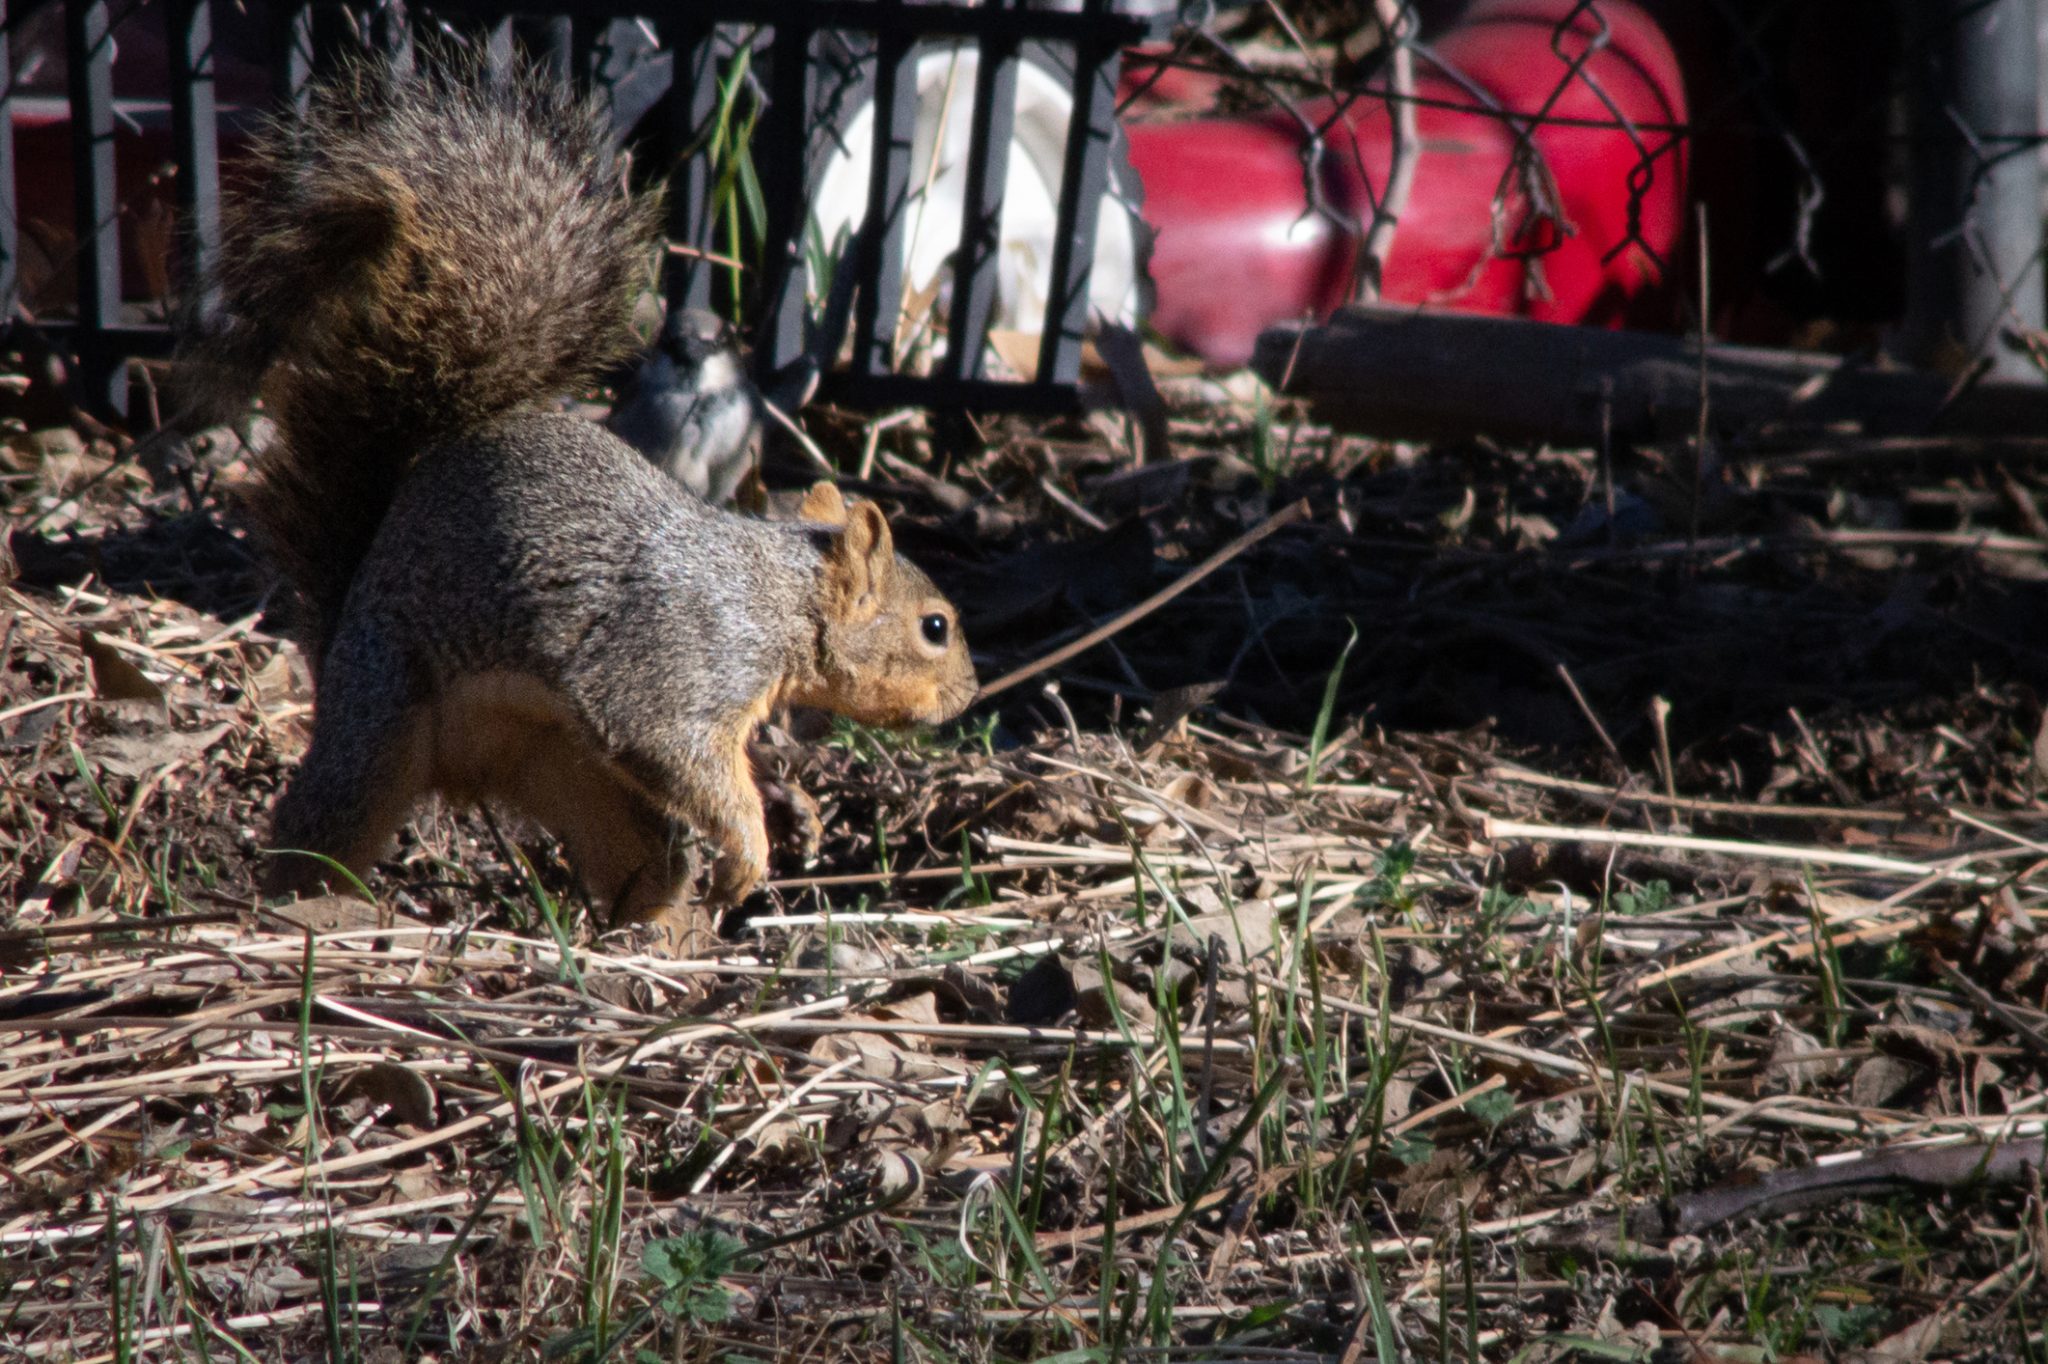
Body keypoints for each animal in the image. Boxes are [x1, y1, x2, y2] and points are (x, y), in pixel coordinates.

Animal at [193, 55, 983, 946]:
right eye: (935, 627)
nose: (970, 695)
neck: (777, 597)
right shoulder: (672, 665)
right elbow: (674, 745)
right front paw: (752, 846)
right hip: (381, 715)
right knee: (319, 820)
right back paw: (292, 908)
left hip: (570, 770)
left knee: (644, 854)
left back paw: (656, 941)